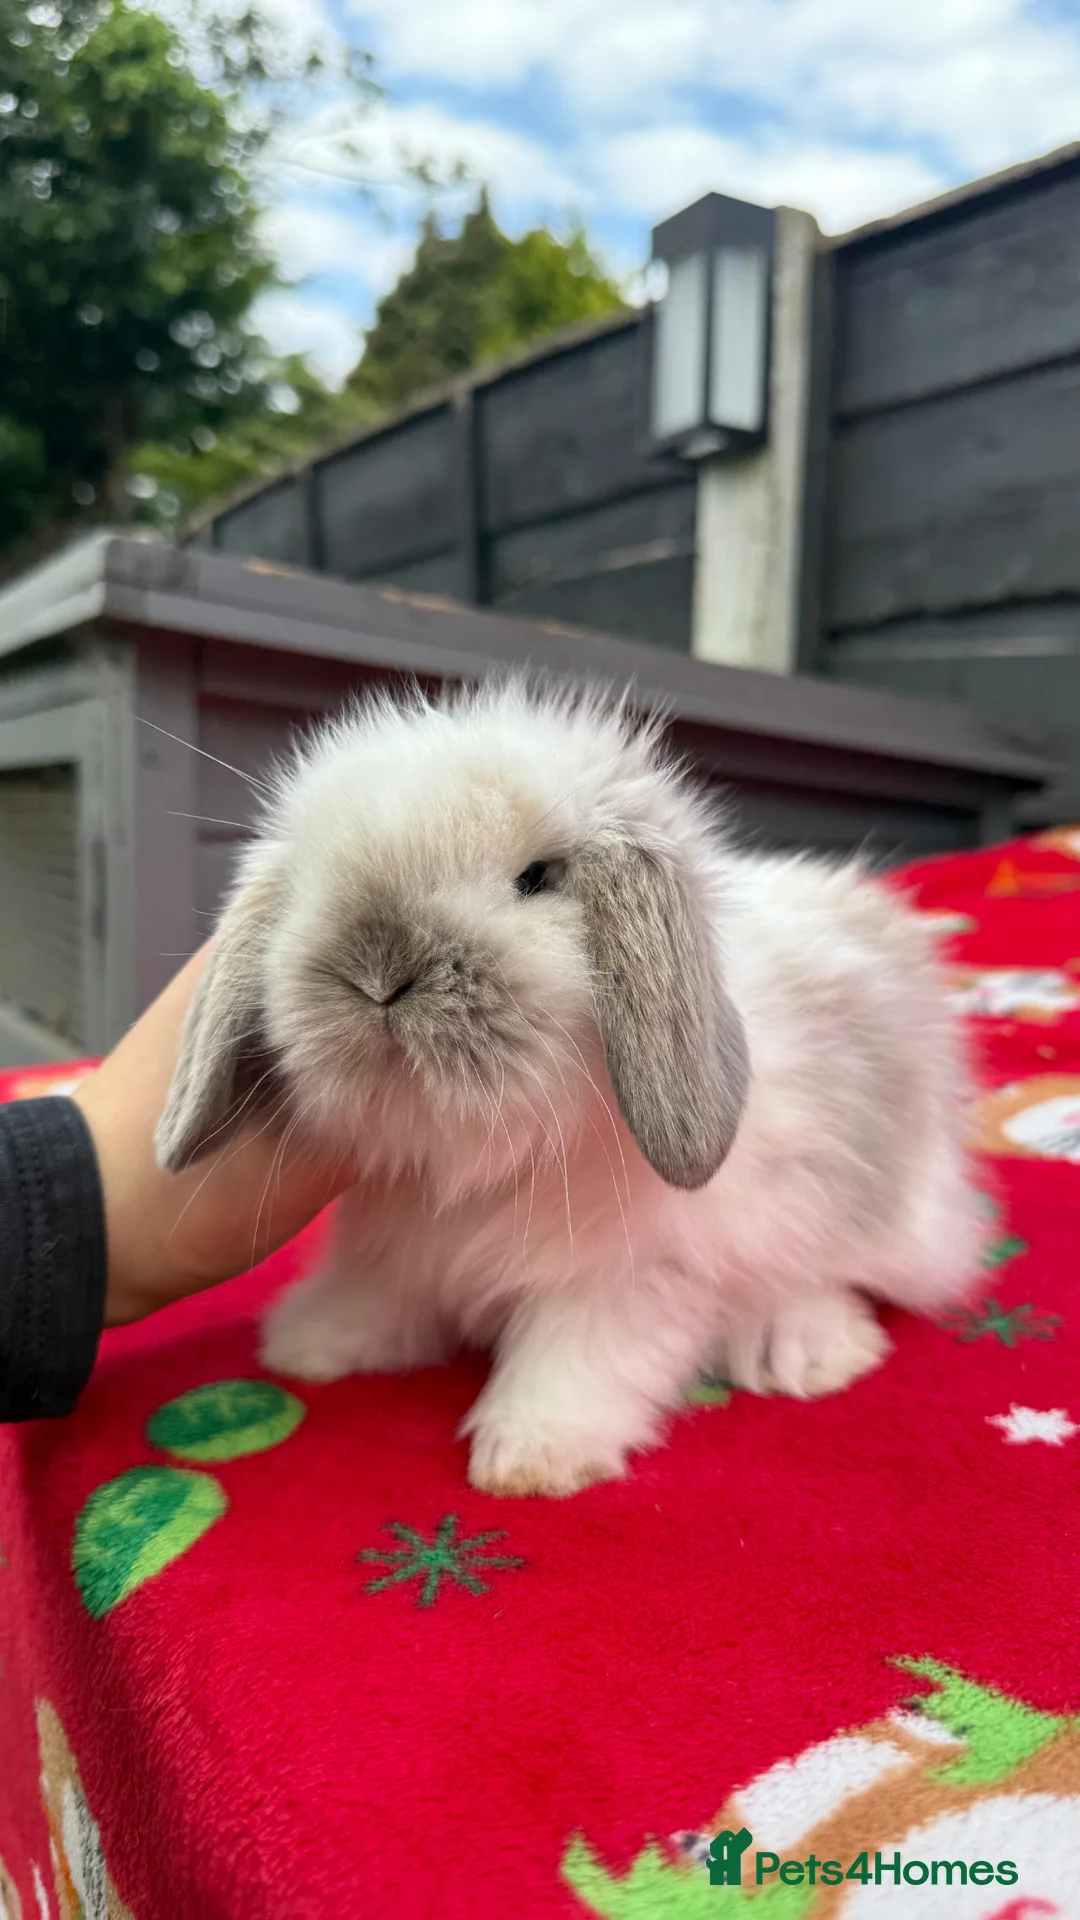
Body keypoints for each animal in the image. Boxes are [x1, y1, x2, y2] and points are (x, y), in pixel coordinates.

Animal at [156, 677, 985, 1498]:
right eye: (309, 882)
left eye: (537, 878)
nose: (378, 973)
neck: (471, 1150)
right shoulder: (393, 1246)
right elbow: (376, 1294)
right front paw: (310, 1345)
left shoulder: (628, 1277)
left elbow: (576, 1358)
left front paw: (530, 1460)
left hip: (888, 1214)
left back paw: (806, 1349)